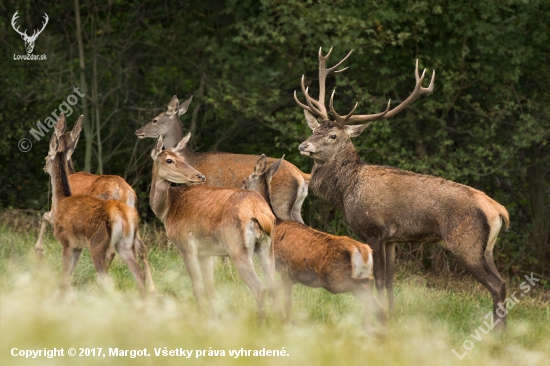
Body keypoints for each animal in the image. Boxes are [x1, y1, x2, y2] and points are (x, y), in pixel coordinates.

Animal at [36, 117, 156, 294]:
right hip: (132, 217)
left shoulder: (56, 210)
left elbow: (44, 216)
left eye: (46, 156)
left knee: (111, 252)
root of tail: (123, 190)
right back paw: (153, 288)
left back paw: (97, 283)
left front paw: (38, 250)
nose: (44, 167)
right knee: (141, 247)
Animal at [135, 95, 310, 223]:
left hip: (281, 201)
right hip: (296, 206)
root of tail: (302, 176)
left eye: (155, 120)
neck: (193, 158)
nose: (138, 131)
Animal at [149, 134, 280, 318]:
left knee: (260, 289)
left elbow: (197, 288)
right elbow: (210, 289)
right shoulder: (206, 252)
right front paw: (213, 318)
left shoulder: (186, 246)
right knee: (273, 288)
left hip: (237, 248)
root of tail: (259, 212)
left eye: (181, 158)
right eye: (169, 160)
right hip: (267, 247)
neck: (167, 210)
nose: (200, 176)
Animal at [242, 154, 388, 334]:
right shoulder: (294, 276)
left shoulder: (285, 270)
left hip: (335, 280)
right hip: (350, 281)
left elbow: (288, 304)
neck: (277, 224)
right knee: (380, 309)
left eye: (245, 180)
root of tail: (364, 251)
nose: (240, 187)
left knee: (369, 284)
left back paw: (367, 326)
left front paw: (286, 324)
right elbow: (273, 291)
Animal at [300, 48, 512, 328]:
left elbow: (378, 281)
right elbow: (390, 282)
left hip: (465, 243)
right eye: (314, 129)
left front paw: (377, 318)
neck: (347, 191)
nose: (303, 145)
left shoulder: (374, 230)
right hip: (485, 249)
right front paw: (391, 316)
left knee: (497, 285)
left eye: (333, 136)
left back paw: (498, 332)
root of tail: (498, 211)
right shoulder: (393, 238)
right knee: (502, 282)